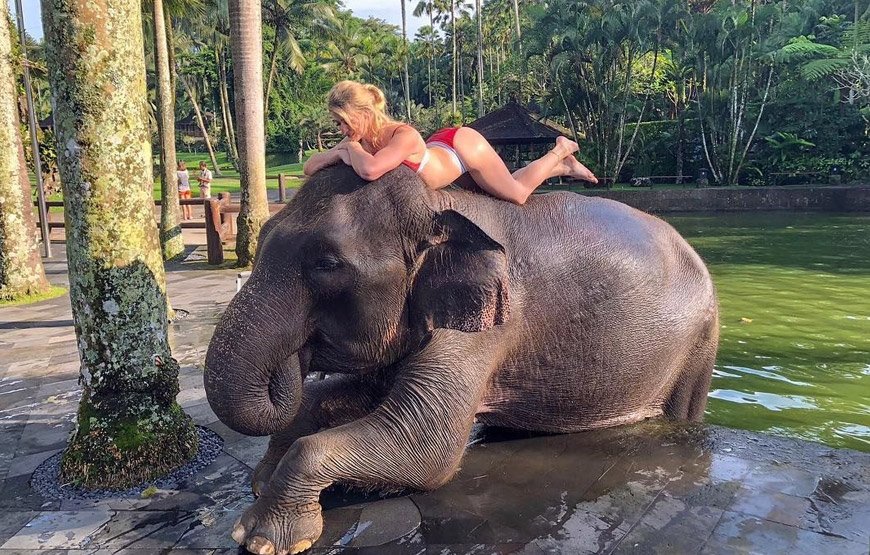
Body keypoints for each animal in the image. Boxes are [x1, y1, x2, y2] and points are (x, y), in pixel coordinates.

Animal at [203, 165, 719, 555]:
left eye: (326, 263)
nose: (293, 356)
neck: (440, 205)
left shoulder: (489, 326)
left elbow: (426, 445)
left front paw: (262, 537)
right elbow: (357, 396)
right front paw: (262, 482)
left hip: (699, 345)